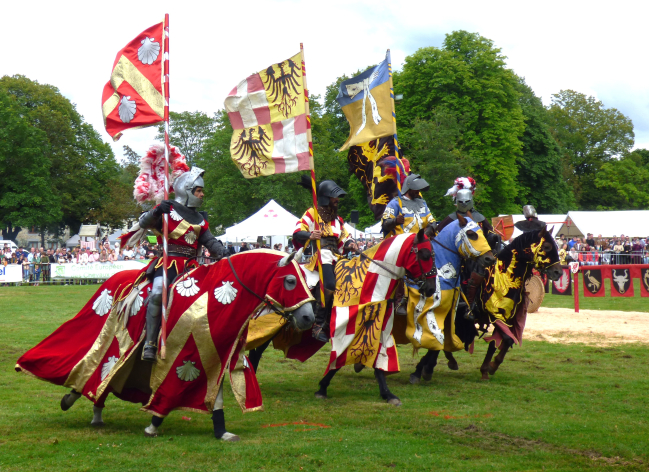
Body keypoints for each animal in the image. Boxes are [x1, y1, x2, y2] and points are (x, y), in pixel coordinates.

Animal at [16, 253, 316, 440]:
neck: (215, 295)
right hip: (111, 343)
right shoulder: (185, 354)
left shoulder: (215, 356)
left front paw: (221, 431)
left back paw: (94, 410)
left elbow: (215, 395)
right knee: (95, 374)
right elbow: (170, 388)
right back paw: (79, 401)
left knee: (104, 381)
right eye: (290, 280)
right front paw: (154, 423)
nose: (309, 318)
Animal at [248, 230, 436, 406]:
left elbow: (377, 362)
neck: (371, 282)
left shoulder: (375, 326)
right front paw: (322, 388)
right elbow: (339, 358)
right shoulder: (346, 329)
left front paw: (387, 394)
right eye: (425, 254)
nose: (431, 289)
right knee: (255, 350)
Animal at [476, 225, 560, 380]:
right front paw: (489, 367)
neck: (504, 277)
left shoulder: (506, 318)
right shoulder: (496, 315)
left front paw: (489, 367)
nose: (558, 272)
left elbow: (500, 341)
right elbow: (504, 339)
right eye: (546, 246)